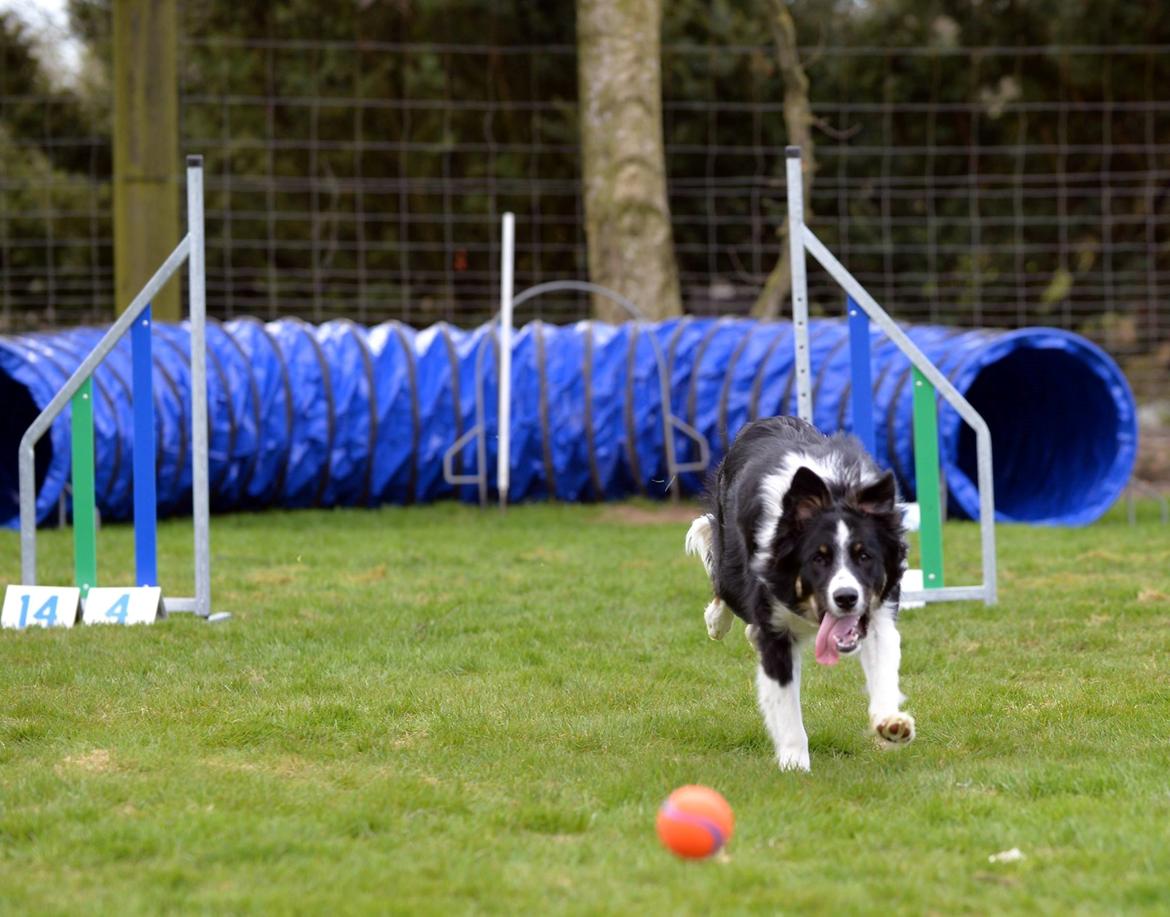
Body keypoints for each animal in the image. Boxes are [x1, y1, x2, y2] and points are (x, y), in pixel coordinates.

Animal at [683, 418, 912, 771]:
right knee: (723, 585)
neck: (833, 492)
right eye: (818, 559)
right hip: (732, 562)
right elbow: (786, 704)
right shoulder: (776, 628)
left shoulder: (876, 612)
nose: (846, 597)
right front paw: (795, 766)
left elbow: (884, 665)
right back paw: (716, 622)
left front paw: (891, 722)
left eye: (865, 556)